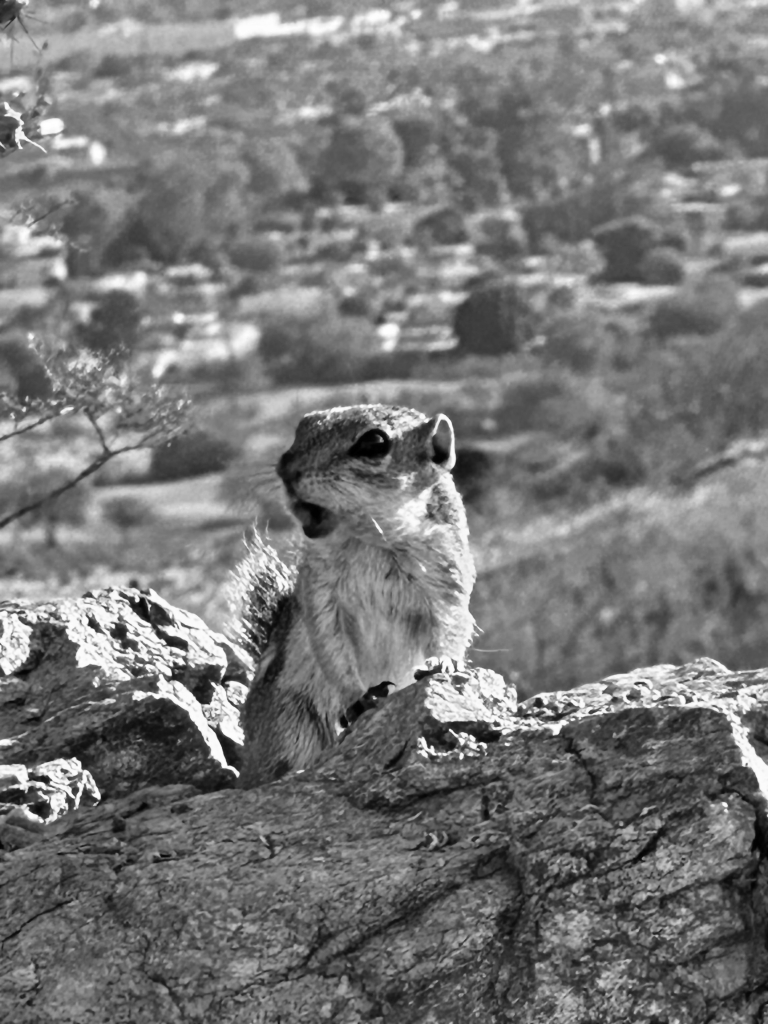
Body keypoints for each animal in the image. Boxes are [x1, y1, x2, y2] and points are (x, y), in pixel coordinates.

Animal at [231, 403, 479, 786]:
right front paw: (358, 697)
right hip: (290, 721)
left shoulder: (448, 582)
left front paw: (443, 662)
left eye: (374, 442)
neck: (371, 537)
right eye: (303, 426)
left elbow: (451, 626)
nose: (286, 469)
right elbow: (331, 648)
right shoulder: (319, 596)